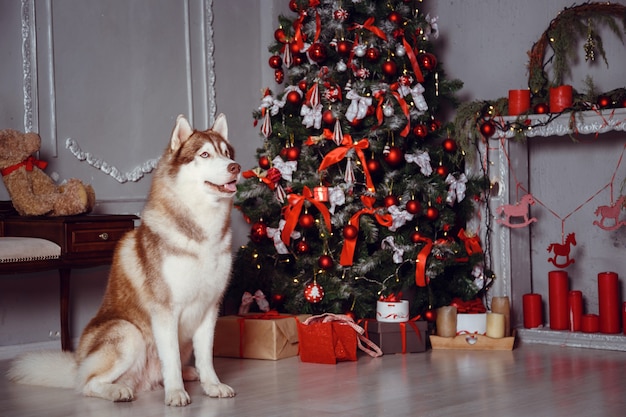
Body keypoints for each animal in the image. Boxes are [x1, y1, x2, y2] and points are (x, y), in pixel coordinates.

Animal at [8, 114, 240, 406]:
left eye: (226, 153)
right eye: (205, 154)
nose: (236, 167)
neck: (201, 232)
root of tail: (77, 363)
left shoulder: (210, 308)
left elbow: (206, 356)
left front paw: (212, 385)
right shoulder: (165, 311)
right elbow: (172, 359)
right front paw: (176, 392)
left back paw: (190, 374)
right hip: (129, 333)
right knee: (86, 383)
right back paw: (117, 390)